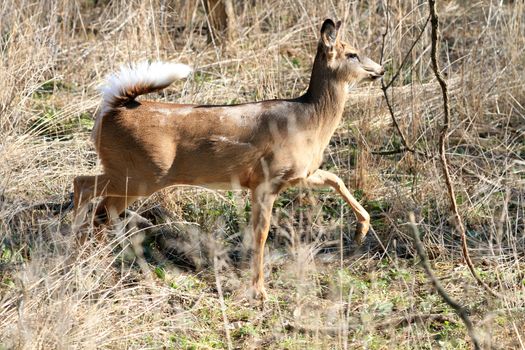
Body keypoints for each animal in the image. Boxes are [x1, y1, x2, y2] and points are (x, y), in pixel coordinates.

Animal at [72, 17, 384, 300]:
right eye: (352, 53)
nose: (380, 69)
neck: (310, 121)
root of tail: (111, 110)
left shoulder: (298, 174)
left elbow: (335, 178)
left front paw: (361, 230)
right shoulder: (266, 179)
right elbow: (261, 233)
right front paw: (259, 291)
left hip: (130, 173)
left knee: (94, 199)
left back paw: (87, 252)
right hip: (142, 174)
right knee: (89, 192)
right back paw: (80, 251)